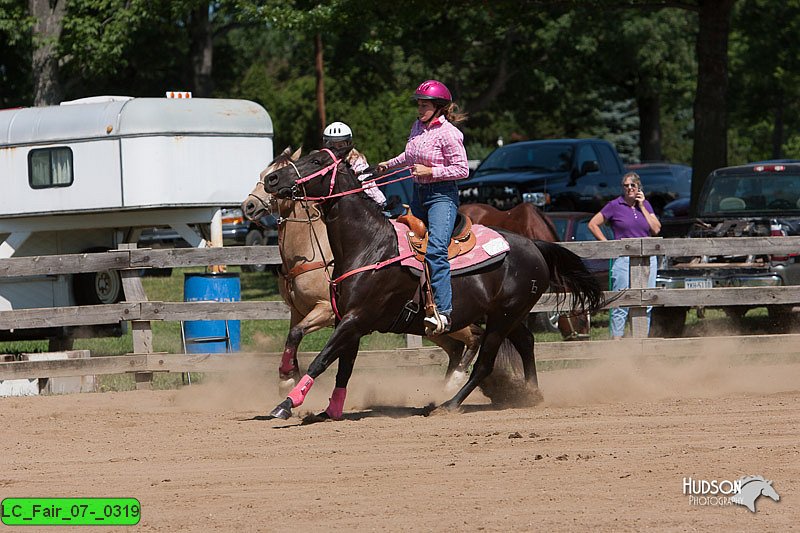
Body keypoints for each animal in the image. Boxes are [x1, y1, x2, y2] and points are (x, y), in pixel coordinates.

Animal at [241, 147, 604, 420]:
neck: (369, 246)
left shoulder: (352, 319)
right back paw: (530, 393)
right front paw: (329, 409)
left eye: (316, 161)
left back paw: (449, 404)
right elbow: (341, 366)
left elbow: (321, 359)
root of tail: (533, 245)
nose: (271, 180)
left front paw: (286, 402)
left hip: (502, 318)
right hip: (506, 316)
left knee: (483, 362)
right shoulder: (351, 322)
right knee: (525, 343)